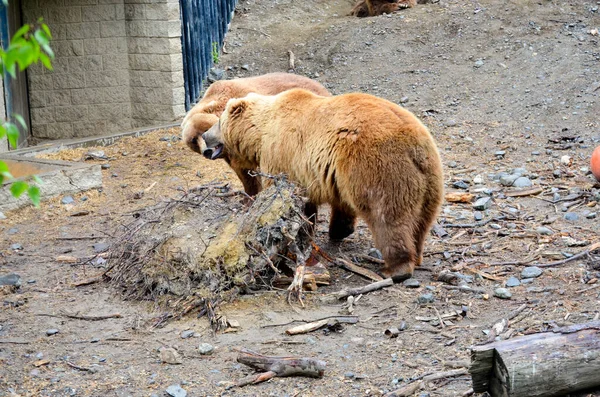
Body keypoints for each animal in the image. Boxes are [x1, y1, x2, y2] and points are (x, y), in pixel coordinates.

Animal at [182, 73, 332, 196]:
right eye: (193, 140)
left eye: (204, 130)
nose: (206, 151)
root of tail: (324, 88)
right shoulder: (235, 156)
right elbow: (246, 176)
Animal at [200, 88, 440, 278]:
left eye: (219, 121)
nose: (204, 136)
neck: (260, 133)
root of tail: (415, 145)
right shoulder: (329, 174)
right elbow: (333, 205)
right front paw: (338, 231)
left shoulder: (283, 157)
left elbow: (287, 202)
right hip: (429, 178)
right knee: (422, 220)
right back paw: (417, 254)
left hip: (379, 167)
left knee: (387, 217)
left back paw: (395, 268)